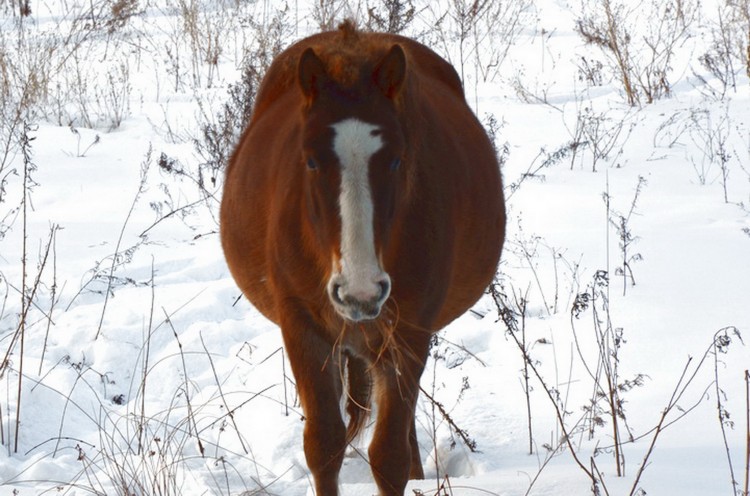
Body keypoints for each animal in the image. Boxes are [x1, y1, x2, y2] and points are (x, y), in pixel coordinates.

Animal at [220, 20, 508, 496]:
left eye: (395, 160)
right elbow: (324, 446)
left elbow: (388, 455)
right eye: (310, 160)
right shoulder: (302, 327)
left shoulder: (408, 333)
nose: (360, 292)